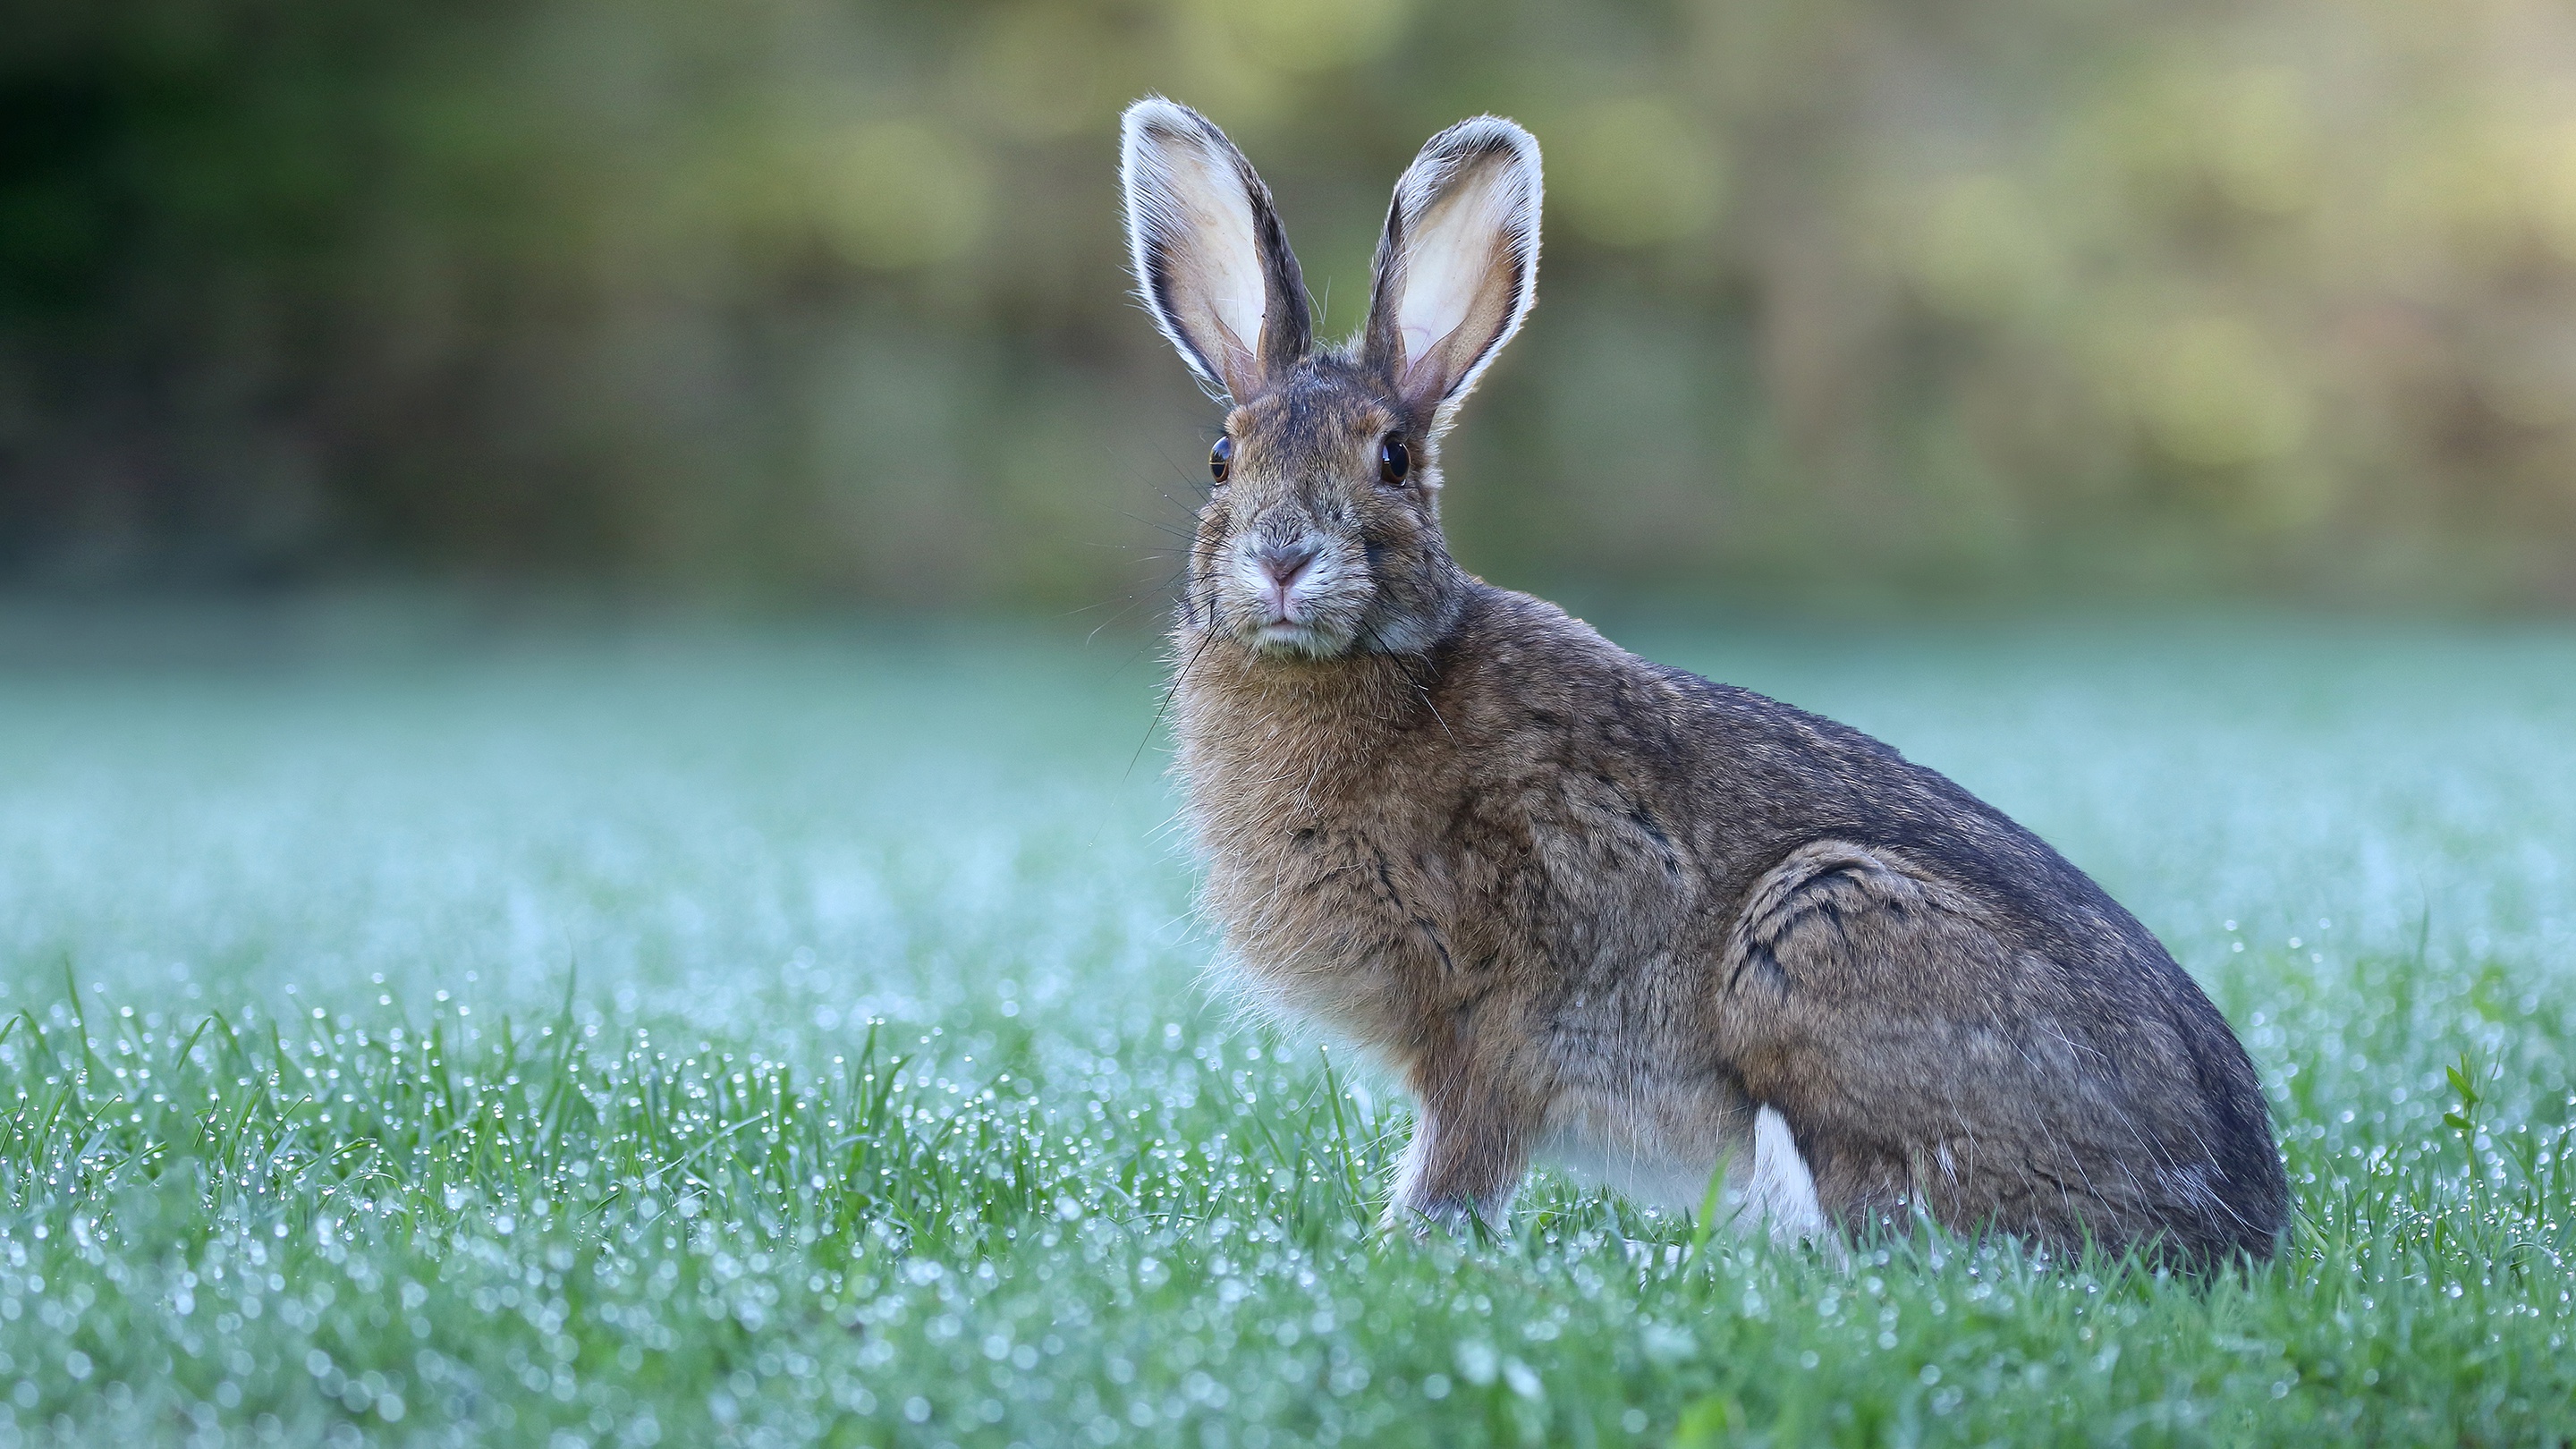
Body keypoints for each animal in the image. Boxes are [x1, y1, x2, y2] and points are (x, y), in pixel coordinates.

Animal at [1117, 96, 2287, 1258]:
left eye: (1393, 458)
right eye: (1223, 457)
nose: (1281, 559)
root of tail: (2238, 1218)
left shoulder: (1498, 1014)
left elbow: (1464, 1150)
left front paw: (1410, 1242)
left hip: (1820, 926)